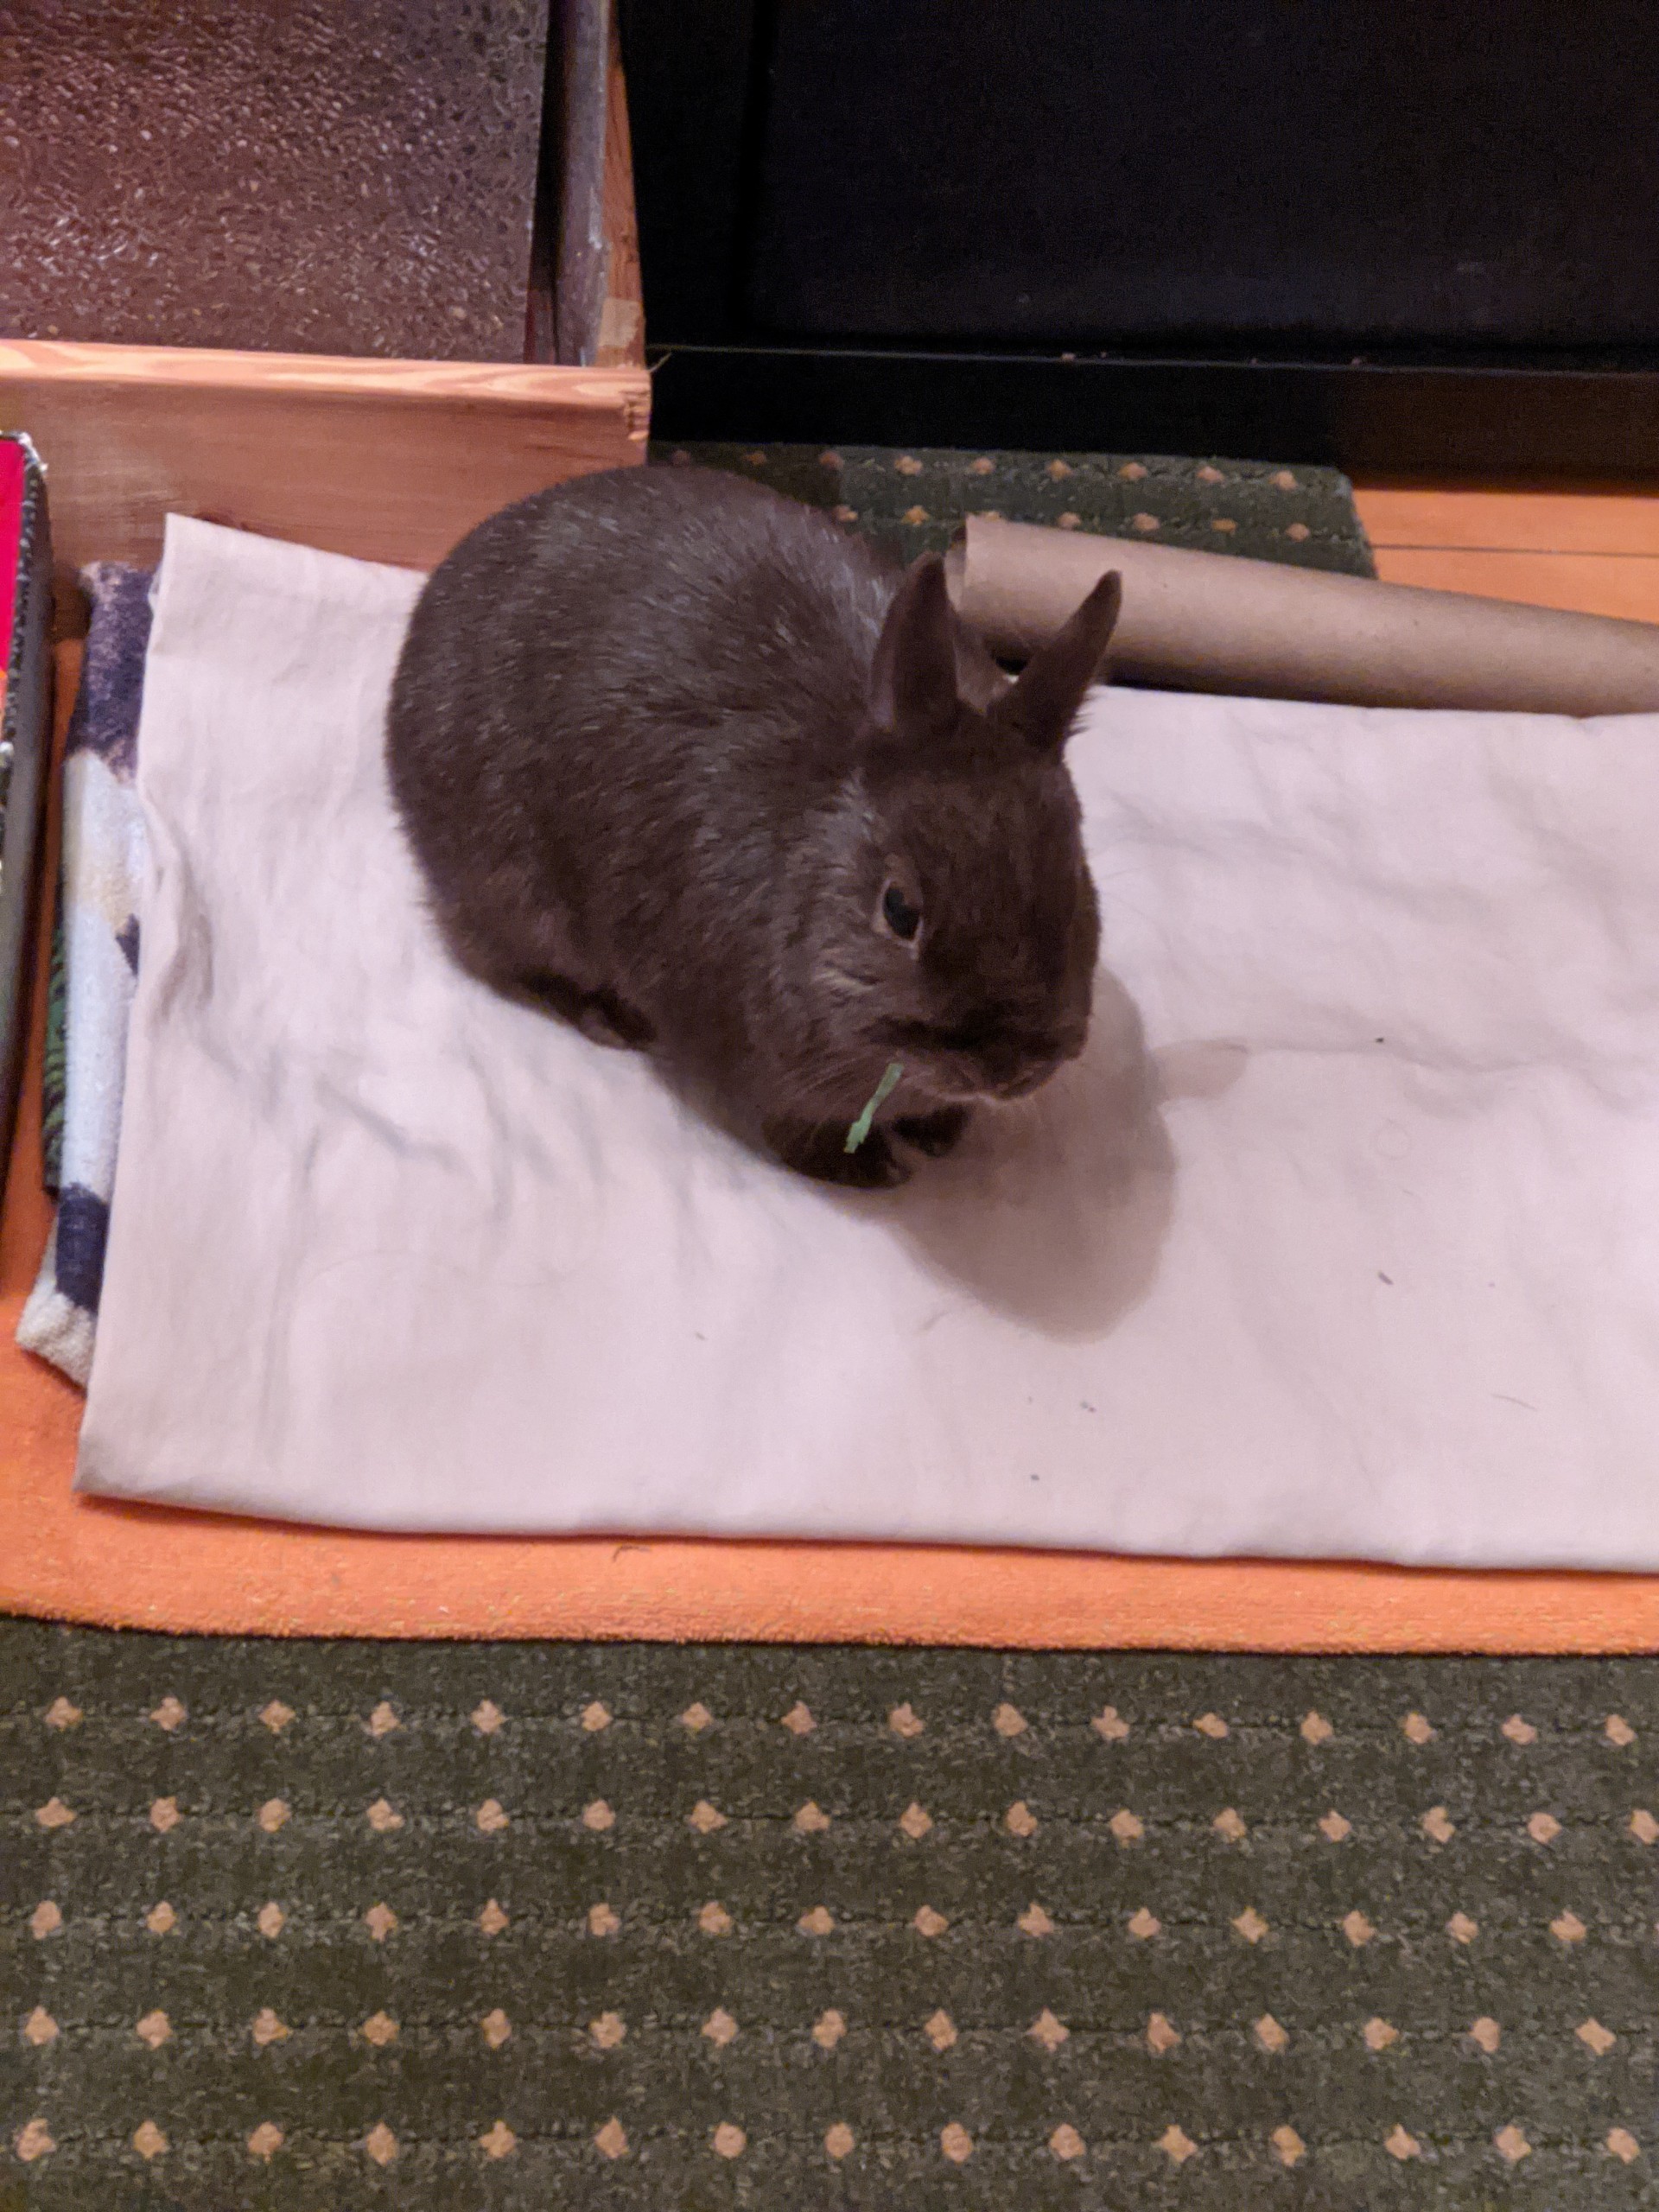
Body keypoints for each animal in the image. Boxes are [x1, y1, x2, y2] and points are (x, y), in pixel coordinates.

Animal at [385, 463, 1121, 1187]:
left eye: (1076, 888)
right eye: (899, 911)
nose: (1011, 1069)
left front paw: (941, 1133)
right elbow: (788, 1131)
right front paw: (869, 1168)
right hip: (510, 889)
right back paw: (606, 1016)